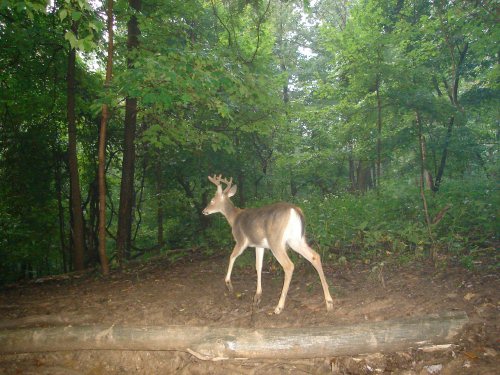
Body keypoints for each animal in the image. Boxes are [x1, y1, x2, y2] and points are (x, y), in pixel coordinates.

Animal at [201, 176, 334, 314]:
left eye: (212, 200)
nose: (204, 211)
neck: (233, 218)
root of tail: (296, 210)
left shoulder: (241, 240)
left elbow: (232, 257)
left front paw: (228, 284)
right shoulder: (259, 245)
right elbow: (258, 266)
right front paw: (257, 296)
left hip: (276, 241)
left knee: (289, 265)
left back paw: (279, 307)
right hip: (296, 240)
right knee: (315, 256)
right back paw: (329, 302)